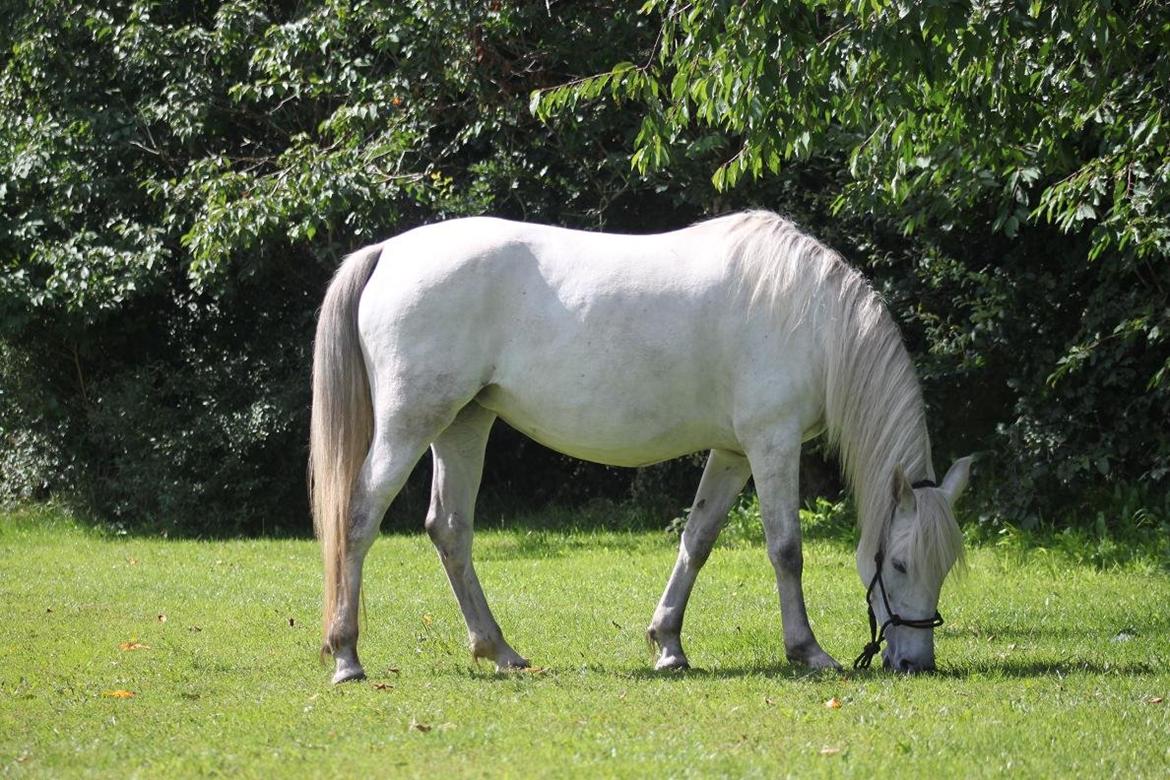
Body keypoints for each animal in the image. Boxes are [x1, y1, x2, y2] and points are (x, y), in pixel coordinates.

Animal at [308, 210, 968, 678]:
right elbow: (786, 549)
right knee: (359, 520)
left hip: (463, 425)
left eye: (943, 566)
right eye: (900, 563)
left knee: (449, 530)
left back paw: (500, 651)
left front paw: (668, 644)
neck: (811, 317)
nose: (914, 663)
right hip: (411, 425)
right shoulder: (772, 444)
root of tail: (388, 252)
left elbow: (697, 539)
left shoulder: (733, 453)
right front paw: (808, 651)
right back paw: (347, 657)